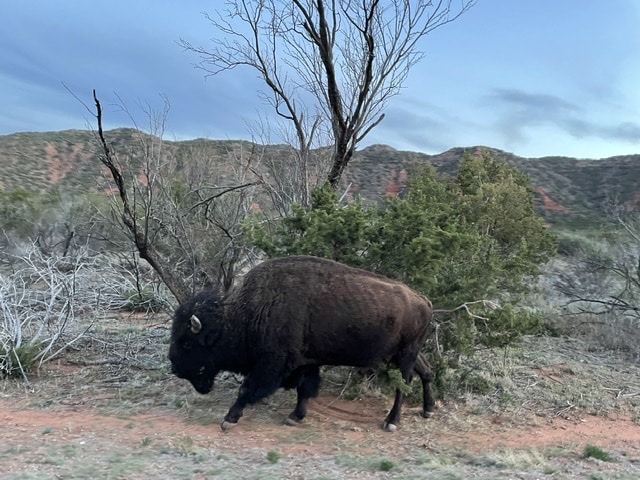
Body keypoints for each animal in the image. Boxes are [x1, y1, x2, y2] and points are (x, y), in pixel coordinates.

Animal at [169, 255, 436, 432]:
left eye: (187, 343)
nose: (175, 368)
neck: (243, 314)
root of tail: (423, 300)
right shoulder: (307, 362)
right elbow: (305, 389)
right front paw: (295, 417)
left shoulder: (273, 363)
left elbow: (247, 389)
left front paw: (229, 419)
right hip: (404, 353)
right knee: (426, 371)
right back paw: (428, 410)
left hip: (404, 356)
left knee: (404, 384)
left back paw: (391, 422)